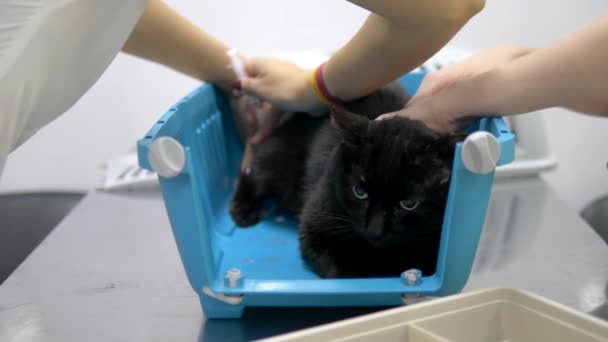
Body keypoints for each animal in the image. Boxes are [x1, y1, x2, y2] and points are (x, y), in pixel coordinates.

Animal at [228, 83, 456, 278]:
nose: (374, 230)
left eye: (409, 204)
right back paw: (243, 209)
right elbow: (338, 272)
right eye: (359, 192)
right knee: (251, 171)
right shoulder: (313, 227)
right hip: (276, 160)